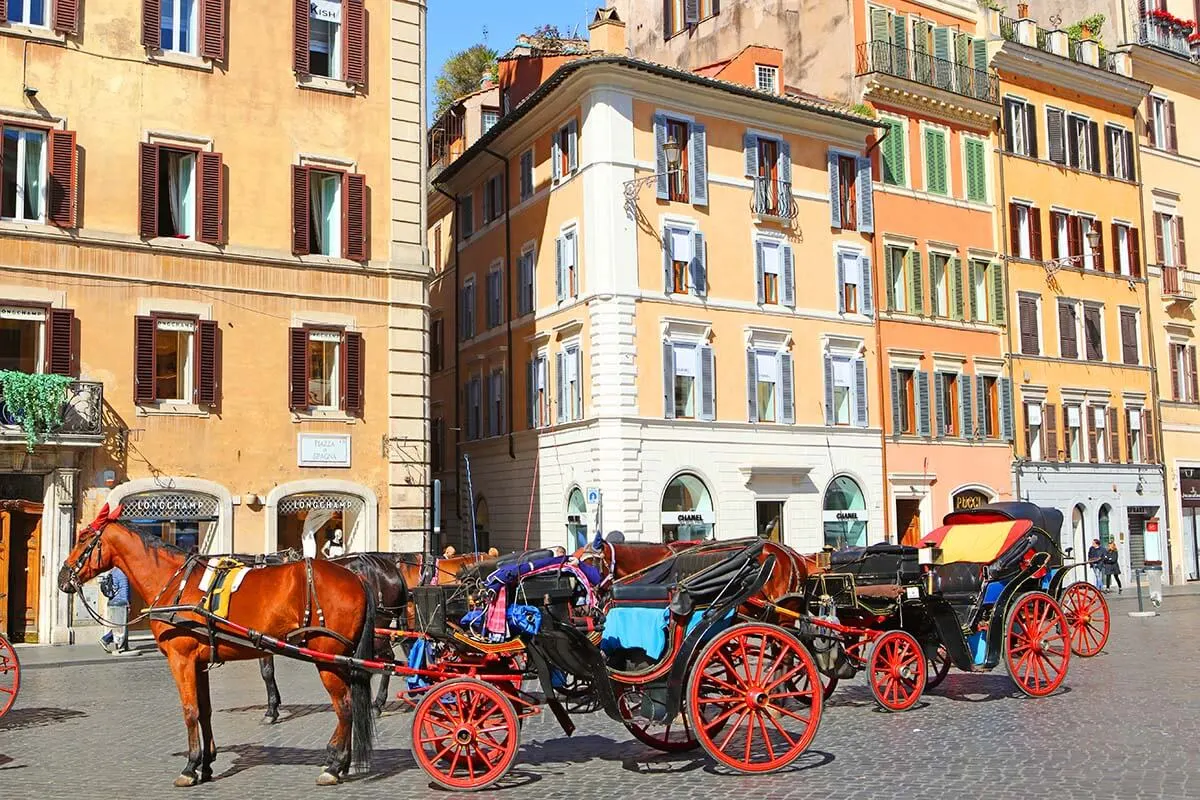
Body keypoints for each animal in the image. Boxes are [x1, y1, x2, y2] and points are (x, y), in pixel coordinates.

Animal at [56, 506, 372, 786]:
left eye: (83, 538)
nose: (62, 577)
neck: (175, 584)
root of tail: (356, 579)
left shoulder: (180, 659)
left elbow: (190, 711)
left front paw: (190, 766)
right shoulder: (199, 663)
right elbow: (204, 710)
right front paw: (206, 764)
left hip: (327, 657)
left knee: (344, 708)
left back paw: (333, 765)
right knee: (350, 707)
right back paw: (341, 762)